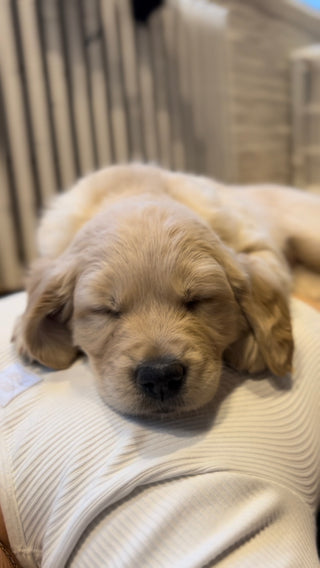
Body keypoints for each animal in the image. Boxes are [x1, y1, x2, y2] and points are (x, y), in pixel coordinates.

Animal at [13, 162, 320, 414]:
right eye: (105, 310)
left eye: (198, 300)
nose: (160, 377)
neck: (135, 188)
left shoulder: (260, 244)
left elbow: (268, 278)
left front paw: (251, 346)